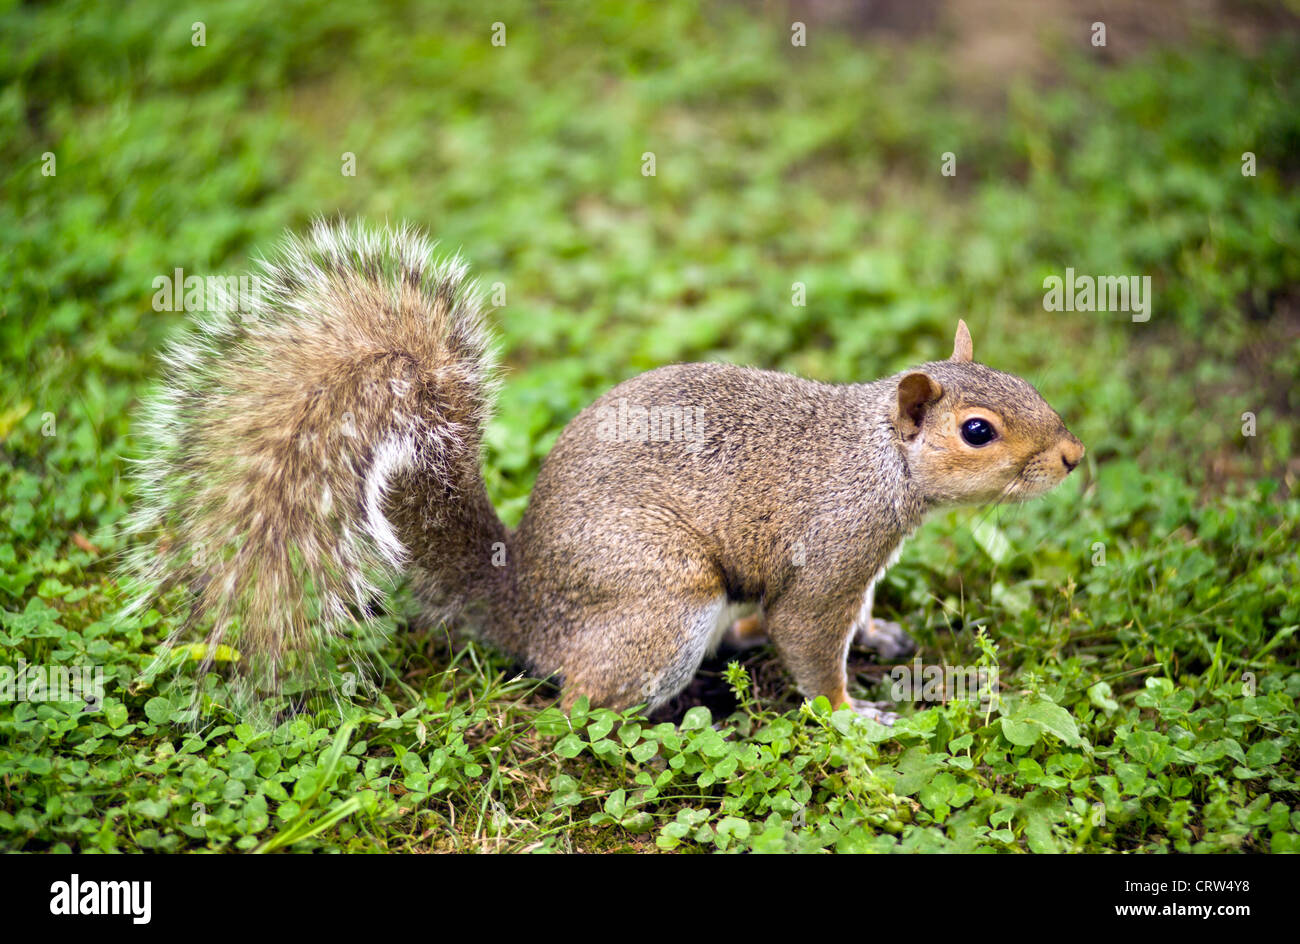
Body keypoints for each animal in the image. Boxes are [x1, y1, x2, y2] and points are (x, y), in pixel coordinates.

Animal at [122, 219, 1081, 722]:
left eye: (1029, 383)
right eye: (978, 430)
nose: (1073, 457)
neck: (876, 458)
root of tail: (525, 602)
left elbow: (844, 621)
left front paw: (878, 637)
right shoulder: (831, 555)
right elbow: (811, 643)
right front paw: (856, 716)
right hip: (662, 602)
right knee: (587, 702)